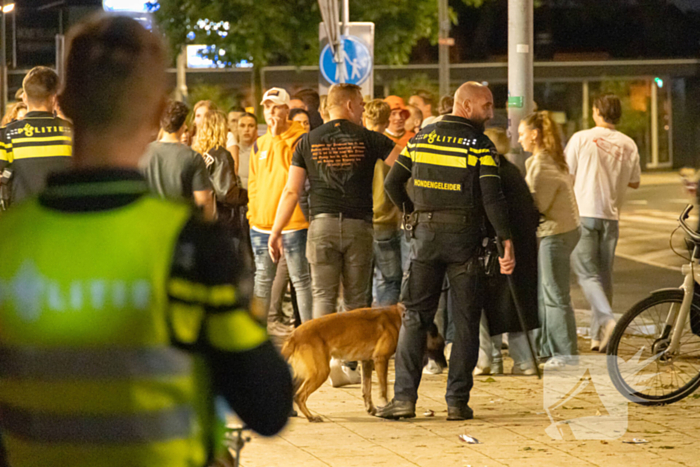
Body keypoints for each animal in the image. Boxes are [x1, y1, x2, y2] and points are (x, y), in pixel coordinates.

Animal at [278, 306, 442, 422]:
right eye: (436, 338)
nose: (444, 364)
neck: (399, 318)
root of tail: (293, 335)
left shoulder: (367, 362)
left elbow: (366, 389)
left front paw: (372, 409)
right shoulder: (381, 359)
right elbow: (383, 389)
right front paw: (385, 407)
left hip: (306, 374)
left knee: (293, 393)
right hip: (320, 372)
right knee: (299, 396)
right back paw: (310, 417)